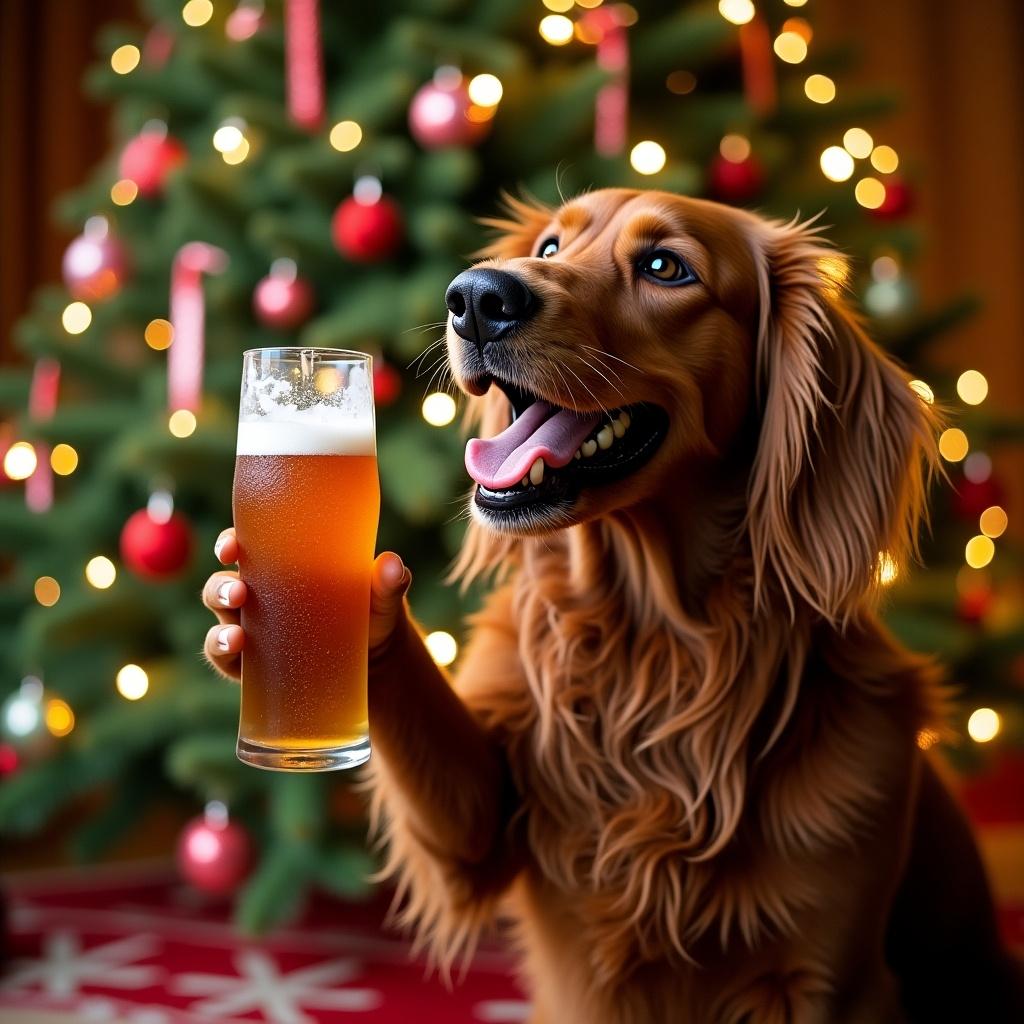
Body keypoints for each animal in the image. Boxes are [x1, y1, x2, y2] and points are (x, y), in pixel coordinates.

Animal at [203, 188, 1019, 1019]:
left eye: (665, 267)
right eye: (552, 247)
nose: (475, 297)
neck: (649, 638)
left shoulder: (833, 975)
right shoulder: (480, 826)